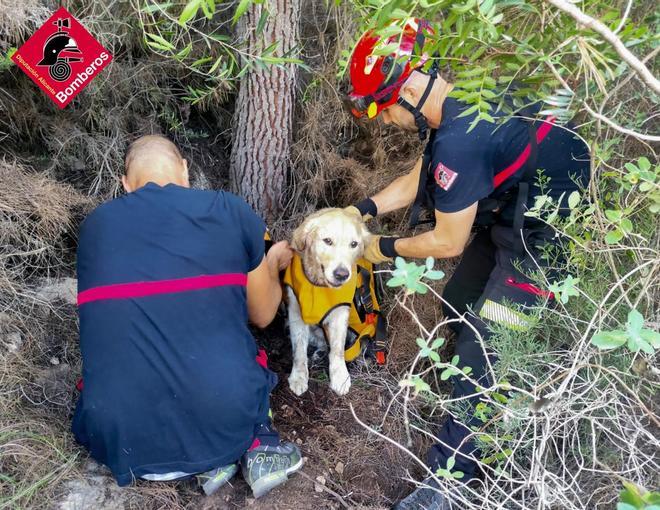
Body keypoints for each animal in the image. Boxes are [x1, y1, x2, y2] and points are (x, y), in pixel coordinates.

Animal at [286, 207, 374, 394]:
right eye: (327, 241)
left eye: (354, 244)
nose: (341, 274)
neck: (319, 285)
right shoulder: (296, 312)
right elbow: (299, 349)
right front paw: (298, 376)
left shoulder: (340, 314)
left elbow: (338, 349)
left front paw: (340, 376)